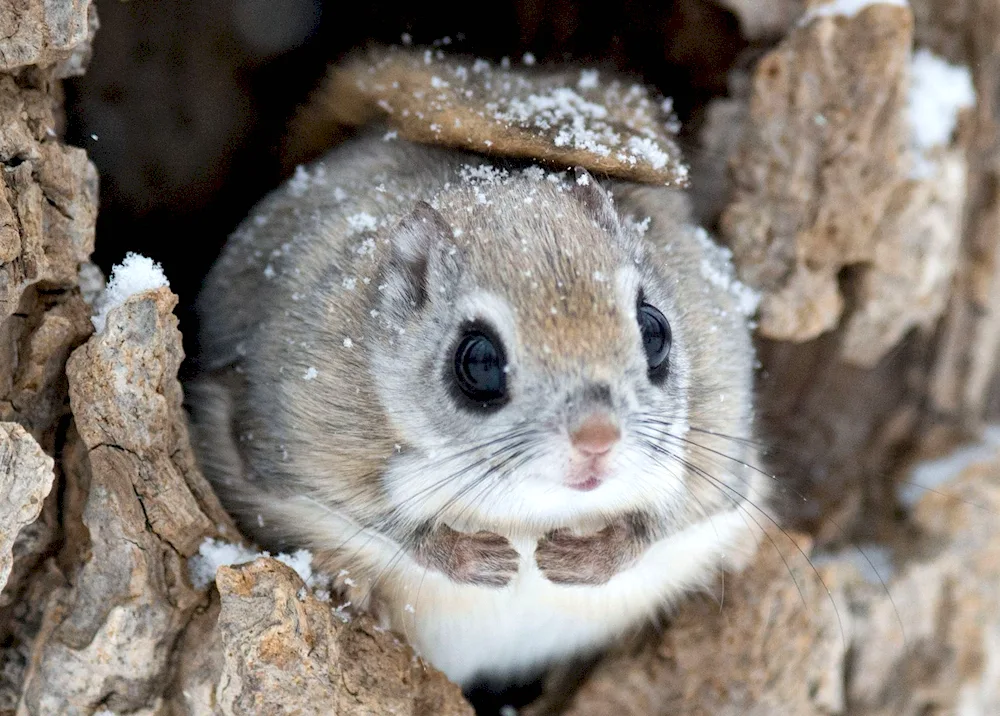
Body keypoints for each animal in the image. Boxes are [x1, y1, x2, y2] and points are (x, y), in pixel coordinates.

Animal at [188, 126, 764, 684]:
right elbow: (385, 523)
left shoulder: (721, 459)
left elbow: (667, 520)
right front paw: (472, 557)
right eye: (480, 362)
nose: (597, 438)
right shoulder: (293, 434)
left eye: (655, 330)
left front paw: (587, 556)